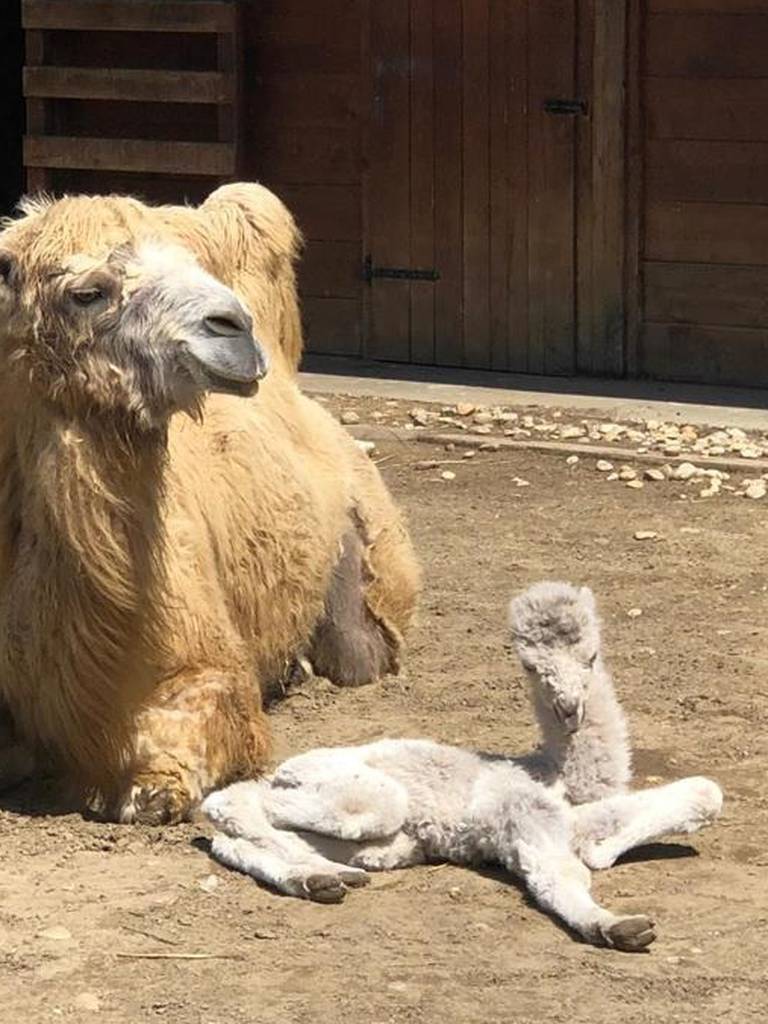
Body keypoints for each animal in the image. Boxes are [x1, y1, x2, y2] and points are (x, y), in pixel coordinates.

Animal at [201, 585, 724, 950]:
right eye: (530, 665)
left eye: (591, 655)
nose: (569, 708)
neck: (555, 772)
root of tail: (289, 766)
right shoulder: (520, 813)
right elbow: (559, 875)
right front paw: (618, 927)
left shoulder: (564, 813)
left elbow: (704, 793)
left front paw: (604, 852)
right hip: (361, 795)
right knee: (232, 805)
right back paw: (313, 871)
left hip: (391, 840)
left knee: (238, 838)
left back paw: (322, 878)